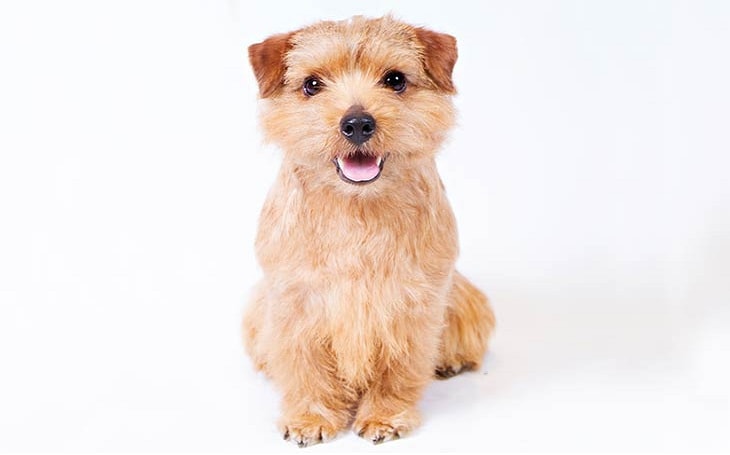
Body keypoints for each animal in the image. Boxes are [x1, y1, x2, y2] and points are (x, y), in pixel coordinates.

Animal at [245, 16, 494, 448]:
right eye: (312, 84)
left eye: (395, 79)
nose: (358, 123)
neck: (356, 208)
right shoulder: (295, 302)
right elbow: (305, 365)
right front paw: (310, 417)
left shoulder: (413, 303)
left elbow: (398, 368)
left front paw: (385, 416)